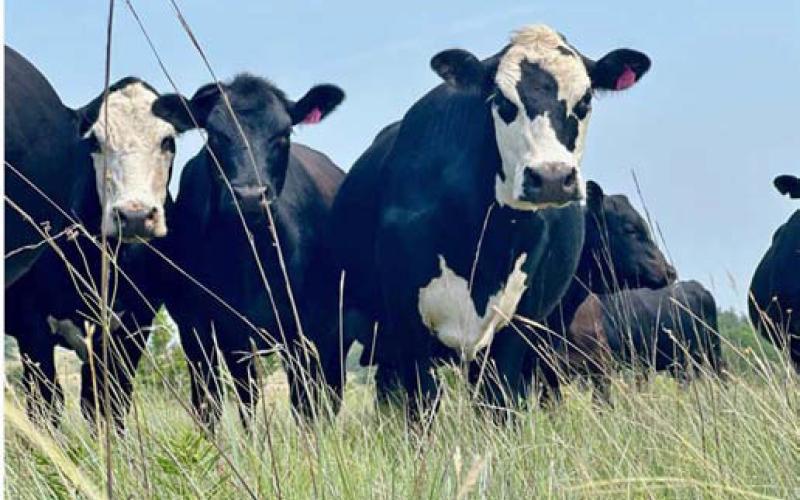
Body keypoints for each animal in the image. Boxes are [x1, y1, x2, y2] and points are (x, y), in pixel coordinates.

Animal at [5, 47, 181, 426]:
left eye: (168, 141)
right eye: (96, 142)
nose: (134, 215)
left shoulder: (131, 328)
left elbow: (107, 406)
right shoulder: (32, 328)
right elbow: (46, 406)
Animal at [151, 74, 346, 427]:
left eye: (283, 134)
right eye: (215, 135)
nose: (251, 196)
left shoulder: (304, 327)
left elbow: (304, 403)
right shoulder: (206, 328)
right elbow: (223, 402)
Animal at [325, 24, 651, 419]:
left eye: (585, 101)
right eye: (503, 102)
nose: (551, 177)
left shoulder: (515, 330)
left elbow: (497, 405)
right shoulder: (406, 324)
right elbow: (421, 408)